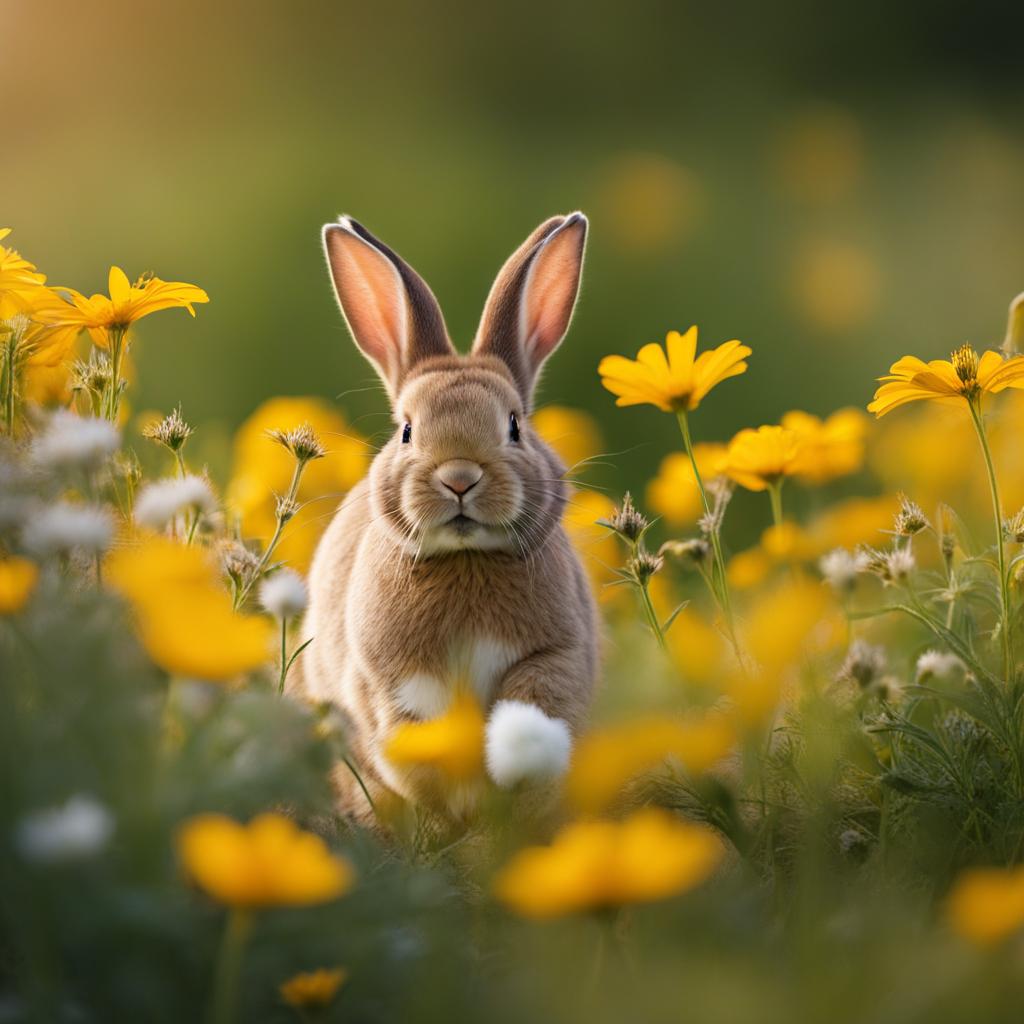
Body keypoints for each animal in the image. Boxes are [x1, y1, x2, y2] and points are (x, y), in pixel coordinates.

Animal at [290, 211, 598, 827]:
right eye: (407, 430)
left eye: (514, 426)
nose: (459, 477)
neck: (467, 557)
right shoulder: (391, 683)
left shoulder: (556, 658)